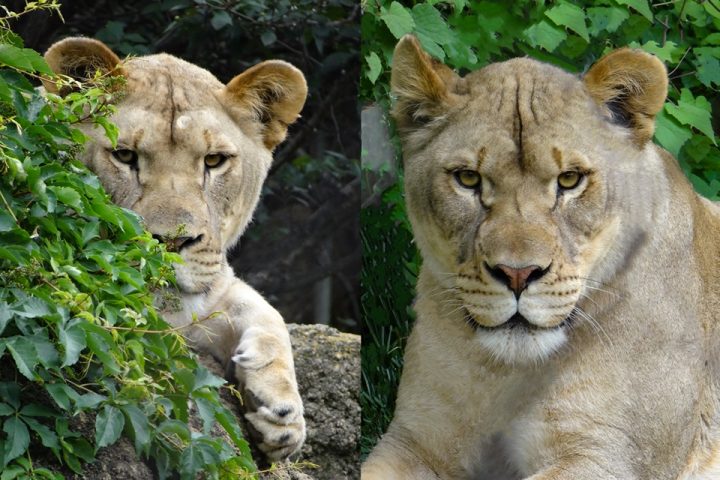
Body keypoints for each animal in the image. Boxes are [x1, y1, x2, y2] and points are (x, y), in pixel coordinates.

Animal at [43, 38, 308, 461]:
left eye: (214, 160)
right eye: (124, 155)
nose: (170, 242)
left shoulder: (209, 292)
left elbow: (268, 314)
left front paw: (283, 413)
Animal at [362, 35, 720, 479]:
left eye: (570, 179)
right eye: (468, 178)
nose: (517, 274)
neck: (507, 373)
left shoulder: (614, 456)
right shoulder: (413, 440)